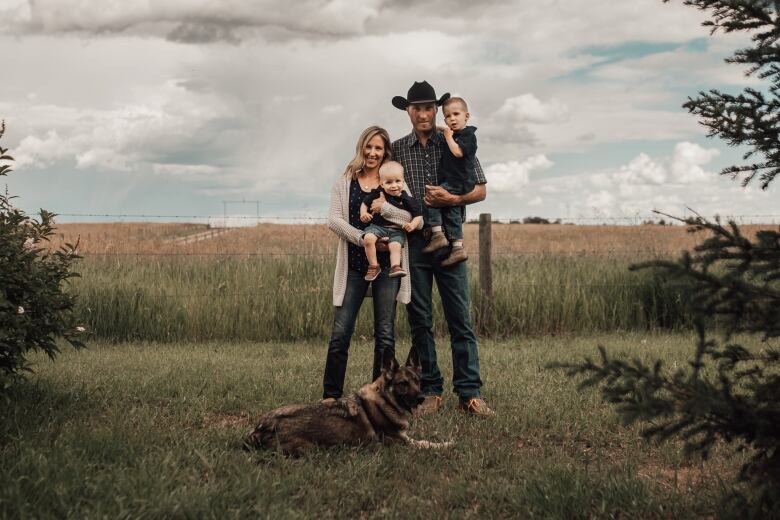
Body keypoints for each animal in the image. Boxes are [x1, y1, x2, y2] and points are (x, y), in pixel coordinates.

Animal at [244, 350, 450, 456]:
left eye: (417, 381)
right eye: (403, 384)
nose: (421, 398)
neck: (384, 399)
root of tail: (259, 429)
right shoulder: (400, 442)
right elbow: (425, 443)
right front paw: (447, 444)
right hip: (309, 448)